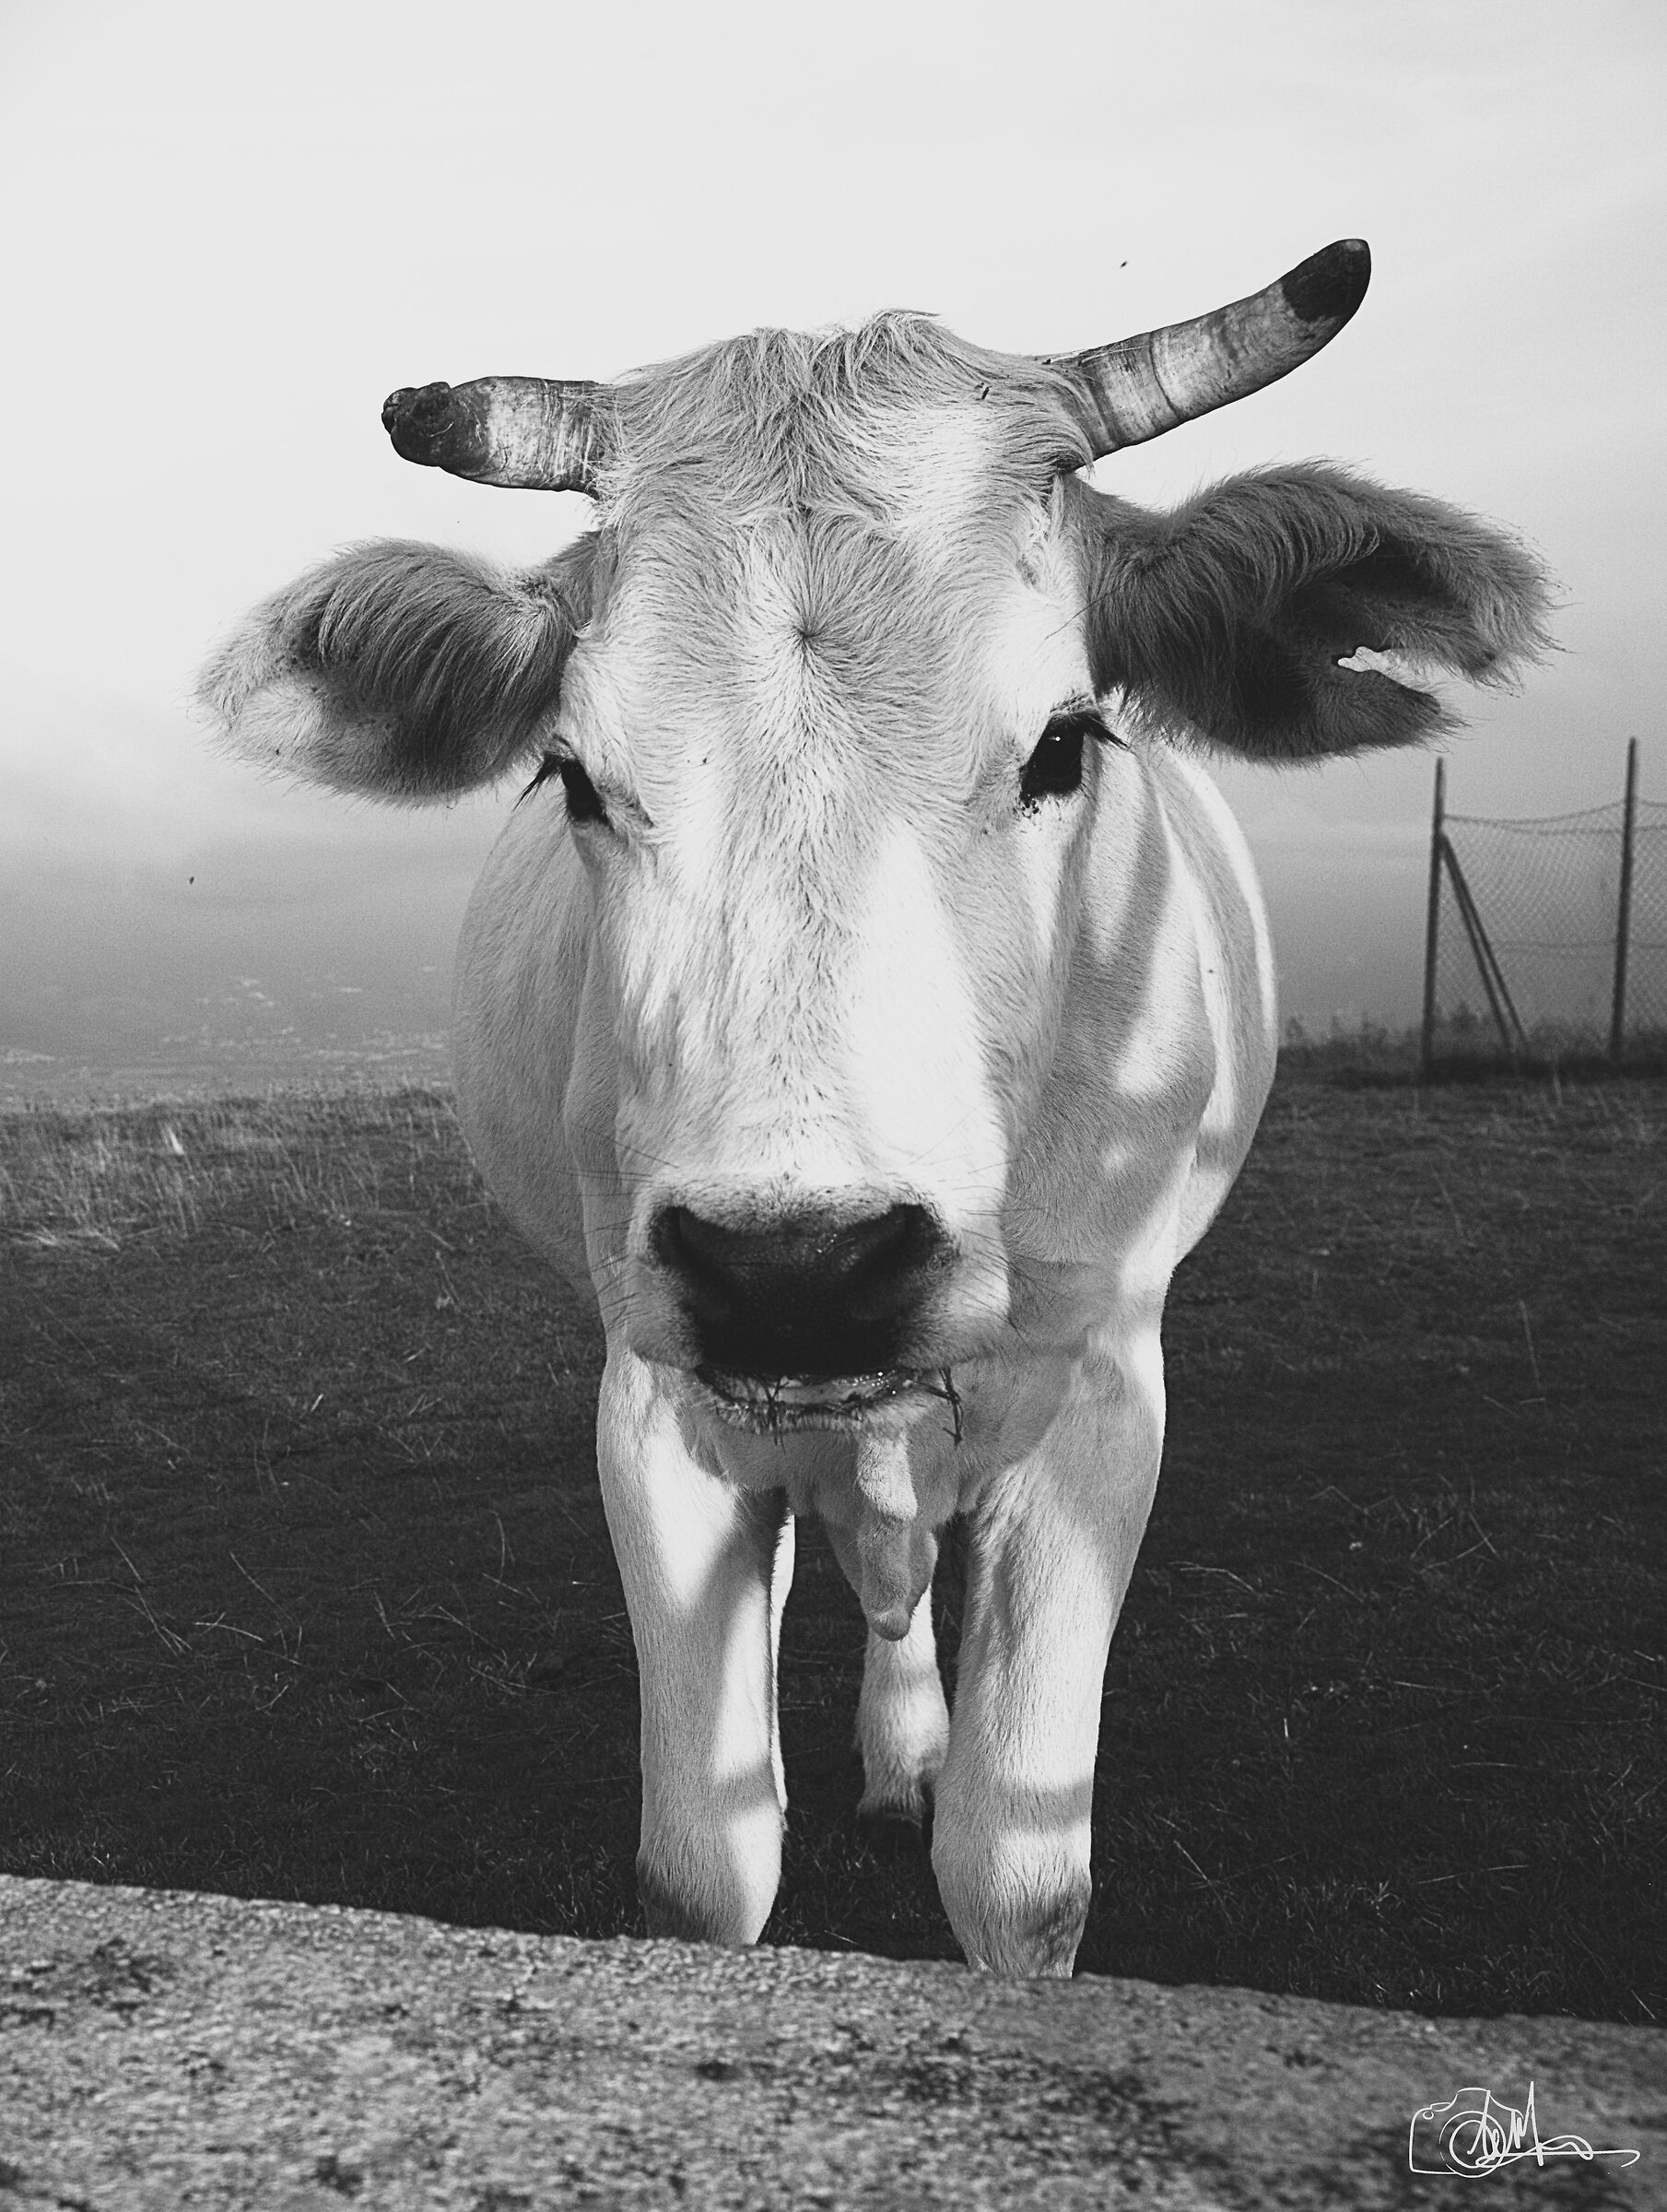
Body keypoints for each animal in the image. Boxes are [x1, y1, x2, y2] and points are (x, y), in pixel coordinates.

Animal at [201, 242, 1549, 1977]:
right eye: (570, 776)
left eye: (1064, 742)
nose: (796, 1268)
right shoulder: (653, 1389)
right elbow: (702, 1864)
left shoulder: (1103, 1383)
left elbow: (1018, 1871)